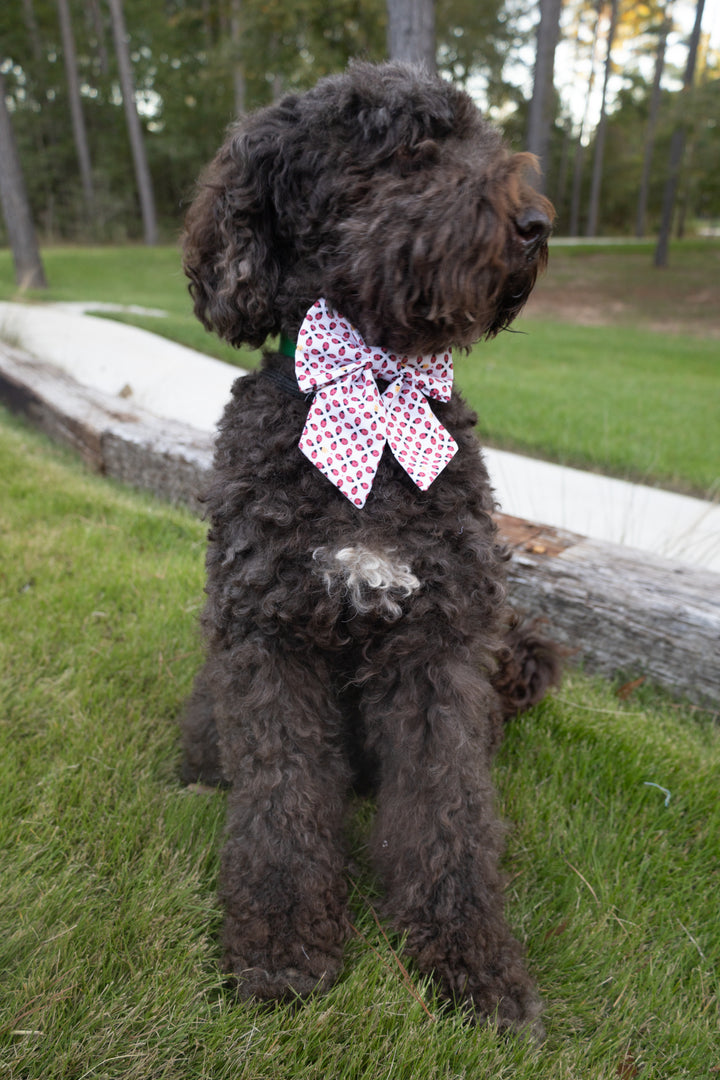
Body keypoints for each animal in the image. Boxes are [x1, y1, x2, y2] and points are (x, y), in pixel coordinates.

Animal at [180, 61, 557, 1036]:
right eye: (404, 151)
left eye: (474, 138)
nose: (536, 225)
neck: (376, 382)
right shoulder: (268, 640)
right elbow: (278, 806)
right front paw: (282, 947)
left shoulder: (436, 647)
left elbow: (447, 814)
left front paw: (470, 963)